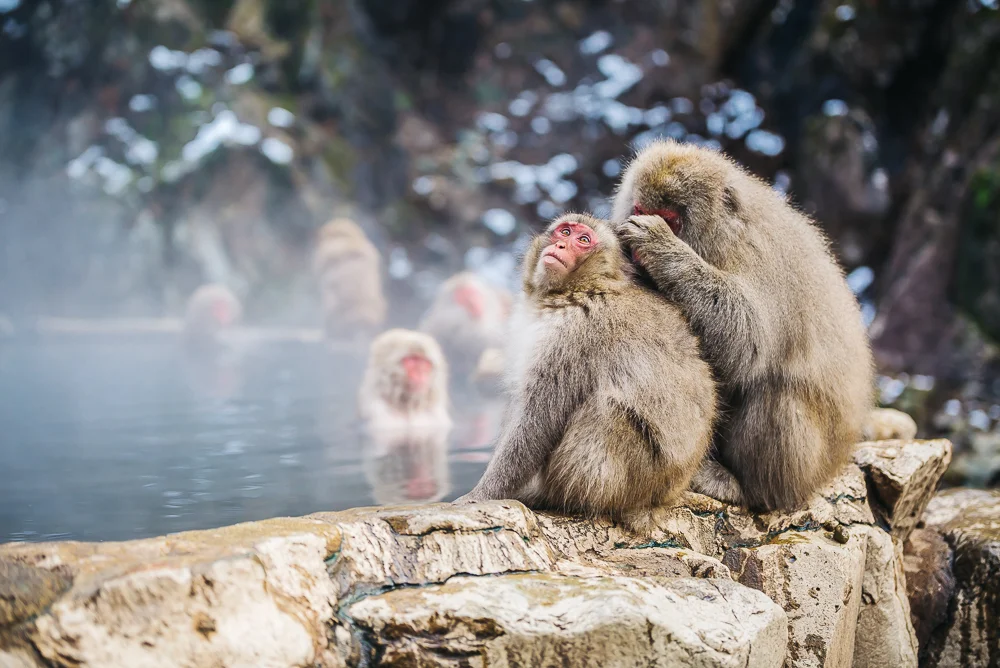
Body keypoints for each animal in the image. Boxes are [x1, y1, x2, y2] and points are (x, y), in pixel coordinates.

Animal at [456, 213, 717, 529]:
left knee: (606, 411)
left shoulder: (574, 334)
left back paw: (550, 496)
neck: (584, 288)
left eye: (583, 240)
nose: (560, 245)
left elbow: (537, 418)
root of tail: (660, 500)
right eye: (565, 232)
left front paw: (481, 495)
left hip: (632, 476)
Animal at [611, 139, 875, 511]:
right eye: (637, 207)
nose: (635, 252)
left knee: (777, 392)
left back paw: (748, 488)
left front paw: (663, 249)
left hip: (805, 469)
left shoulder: (754, 253)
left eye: (668, 219)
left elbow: (748, 344)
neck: (720, 237)